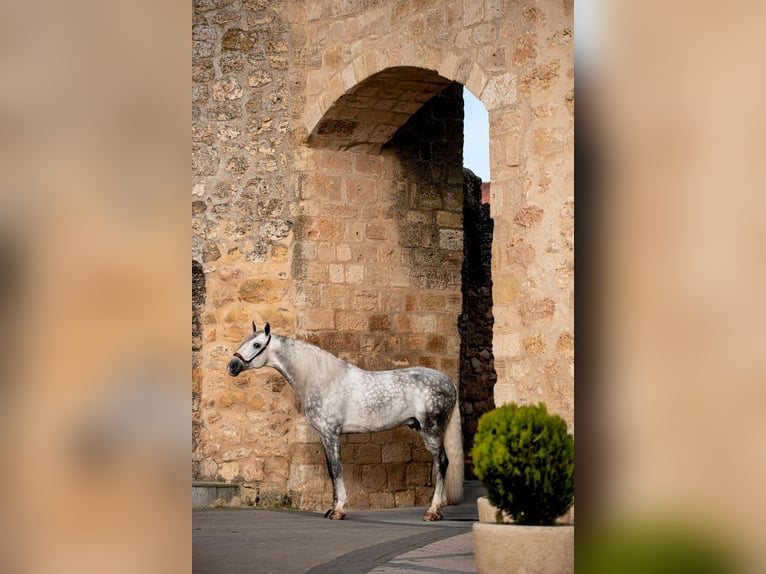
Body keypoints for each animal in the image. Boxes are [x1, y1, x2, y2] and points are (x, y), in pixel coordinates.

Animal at [227, 322, 464, 521]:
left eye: (256, 344)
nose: (232, 365)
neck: (322, 379)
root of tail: (448, 381)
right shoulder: (324, 435)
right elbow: (331, 470)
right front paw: (332, 508)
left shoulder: (331, 433)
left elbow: (336, 468)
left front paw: (339, 510)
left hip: (432, 430)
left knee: (442, 463)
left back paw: (432, 511)